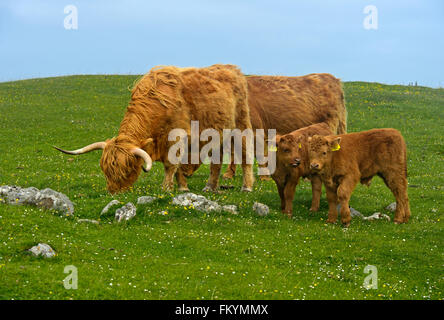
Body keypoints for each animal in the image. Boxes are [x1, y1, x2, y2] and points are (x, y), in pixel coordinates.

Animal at [54, 63, 255, 191]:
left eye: (127, 169)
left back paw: (246, 187)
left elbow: (171, 165)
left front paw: (166, 188)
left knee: (245, 156)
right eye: (105, 170)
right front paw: (182, 188)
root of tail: (232, 68)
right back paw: (210, 187)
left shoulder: (176, 139)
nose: (113, 192)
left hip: (240, 127)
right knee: (216, 161)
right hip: (218, 134)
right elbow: (177, 168)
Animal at [180, 73, 346, 180]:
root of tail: (332, 79)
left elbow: (259, 154)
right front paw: (229, 174)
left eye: (189, 148)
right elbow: (235, 153)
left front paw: (265, 176)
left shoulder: (256, 132)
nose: (184, 173)